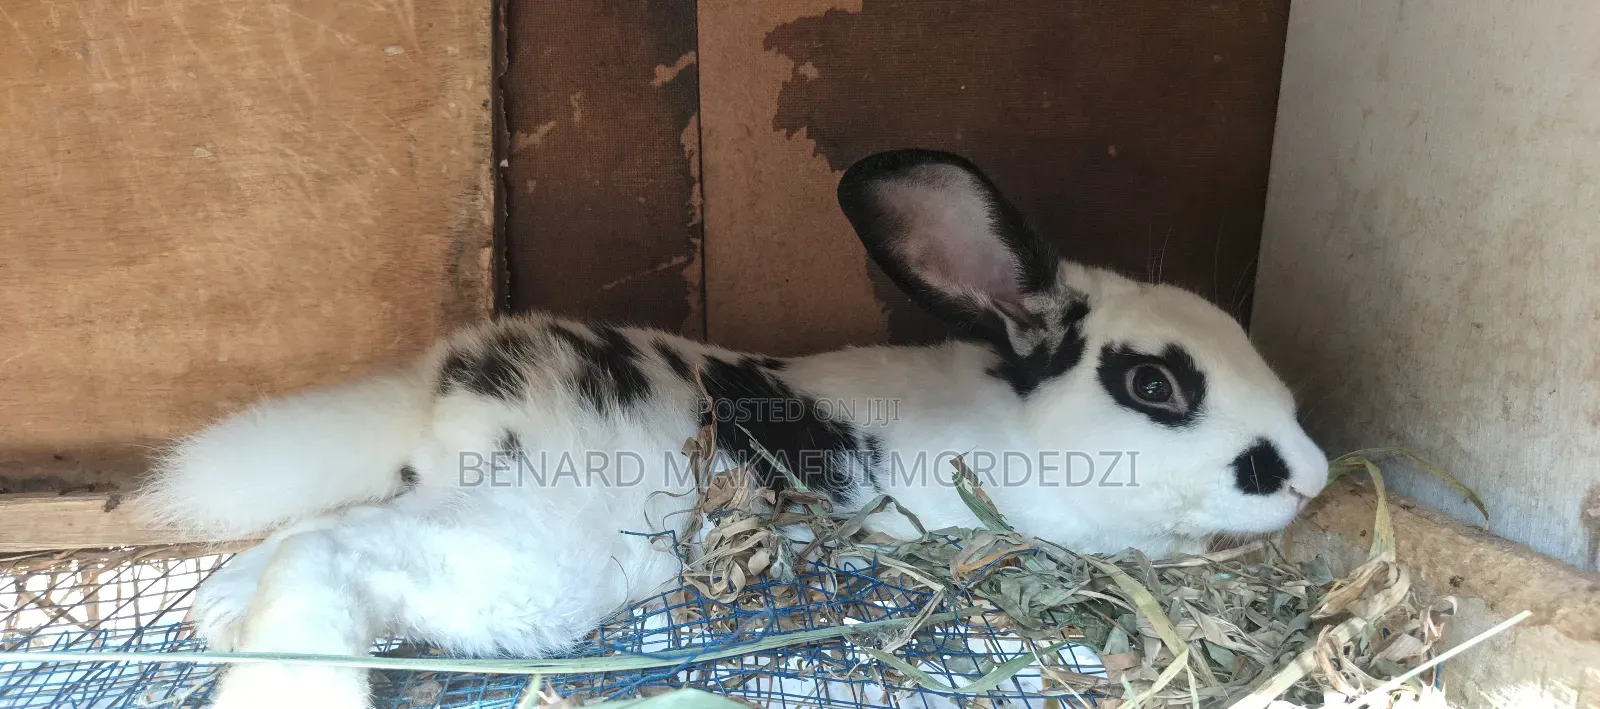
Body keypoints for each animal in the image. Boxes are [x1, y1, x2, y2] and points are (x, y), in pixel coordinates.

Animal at [129, 148, 1328, 709]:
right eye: (1156, 385)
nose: (1311, 476)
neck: (1012, 420)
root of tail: (453, 386)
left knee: (311, 536)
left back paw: (220, 609)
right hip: (526, 562)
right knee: (338, 558)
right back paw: (283, 677)